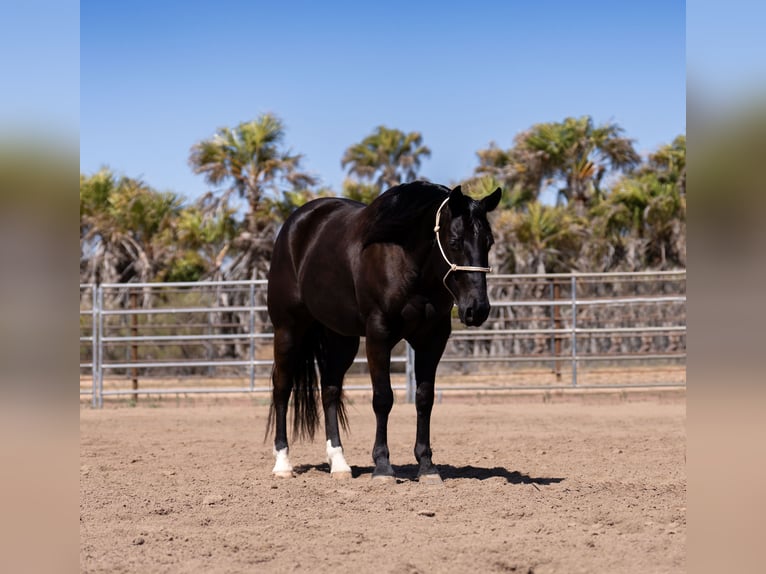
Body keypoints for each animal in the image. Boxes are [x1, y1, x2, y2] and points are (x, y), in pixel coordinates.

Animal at [266, 181, 502, 483]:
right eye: (454, 242)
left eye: (488, 242)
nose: (478, 309)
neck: (407, 261)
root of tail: (296, 224)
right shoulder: (379, 335)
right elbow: (383, 398)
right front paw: (382, 466)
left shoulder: (433, 339)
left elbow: (424, 399)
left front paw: (427, 466)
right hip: (288, 329)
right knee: (281, 388)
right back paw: (283, 463)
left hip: (341, 338)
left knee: (329, 390)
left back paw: (339, 464)